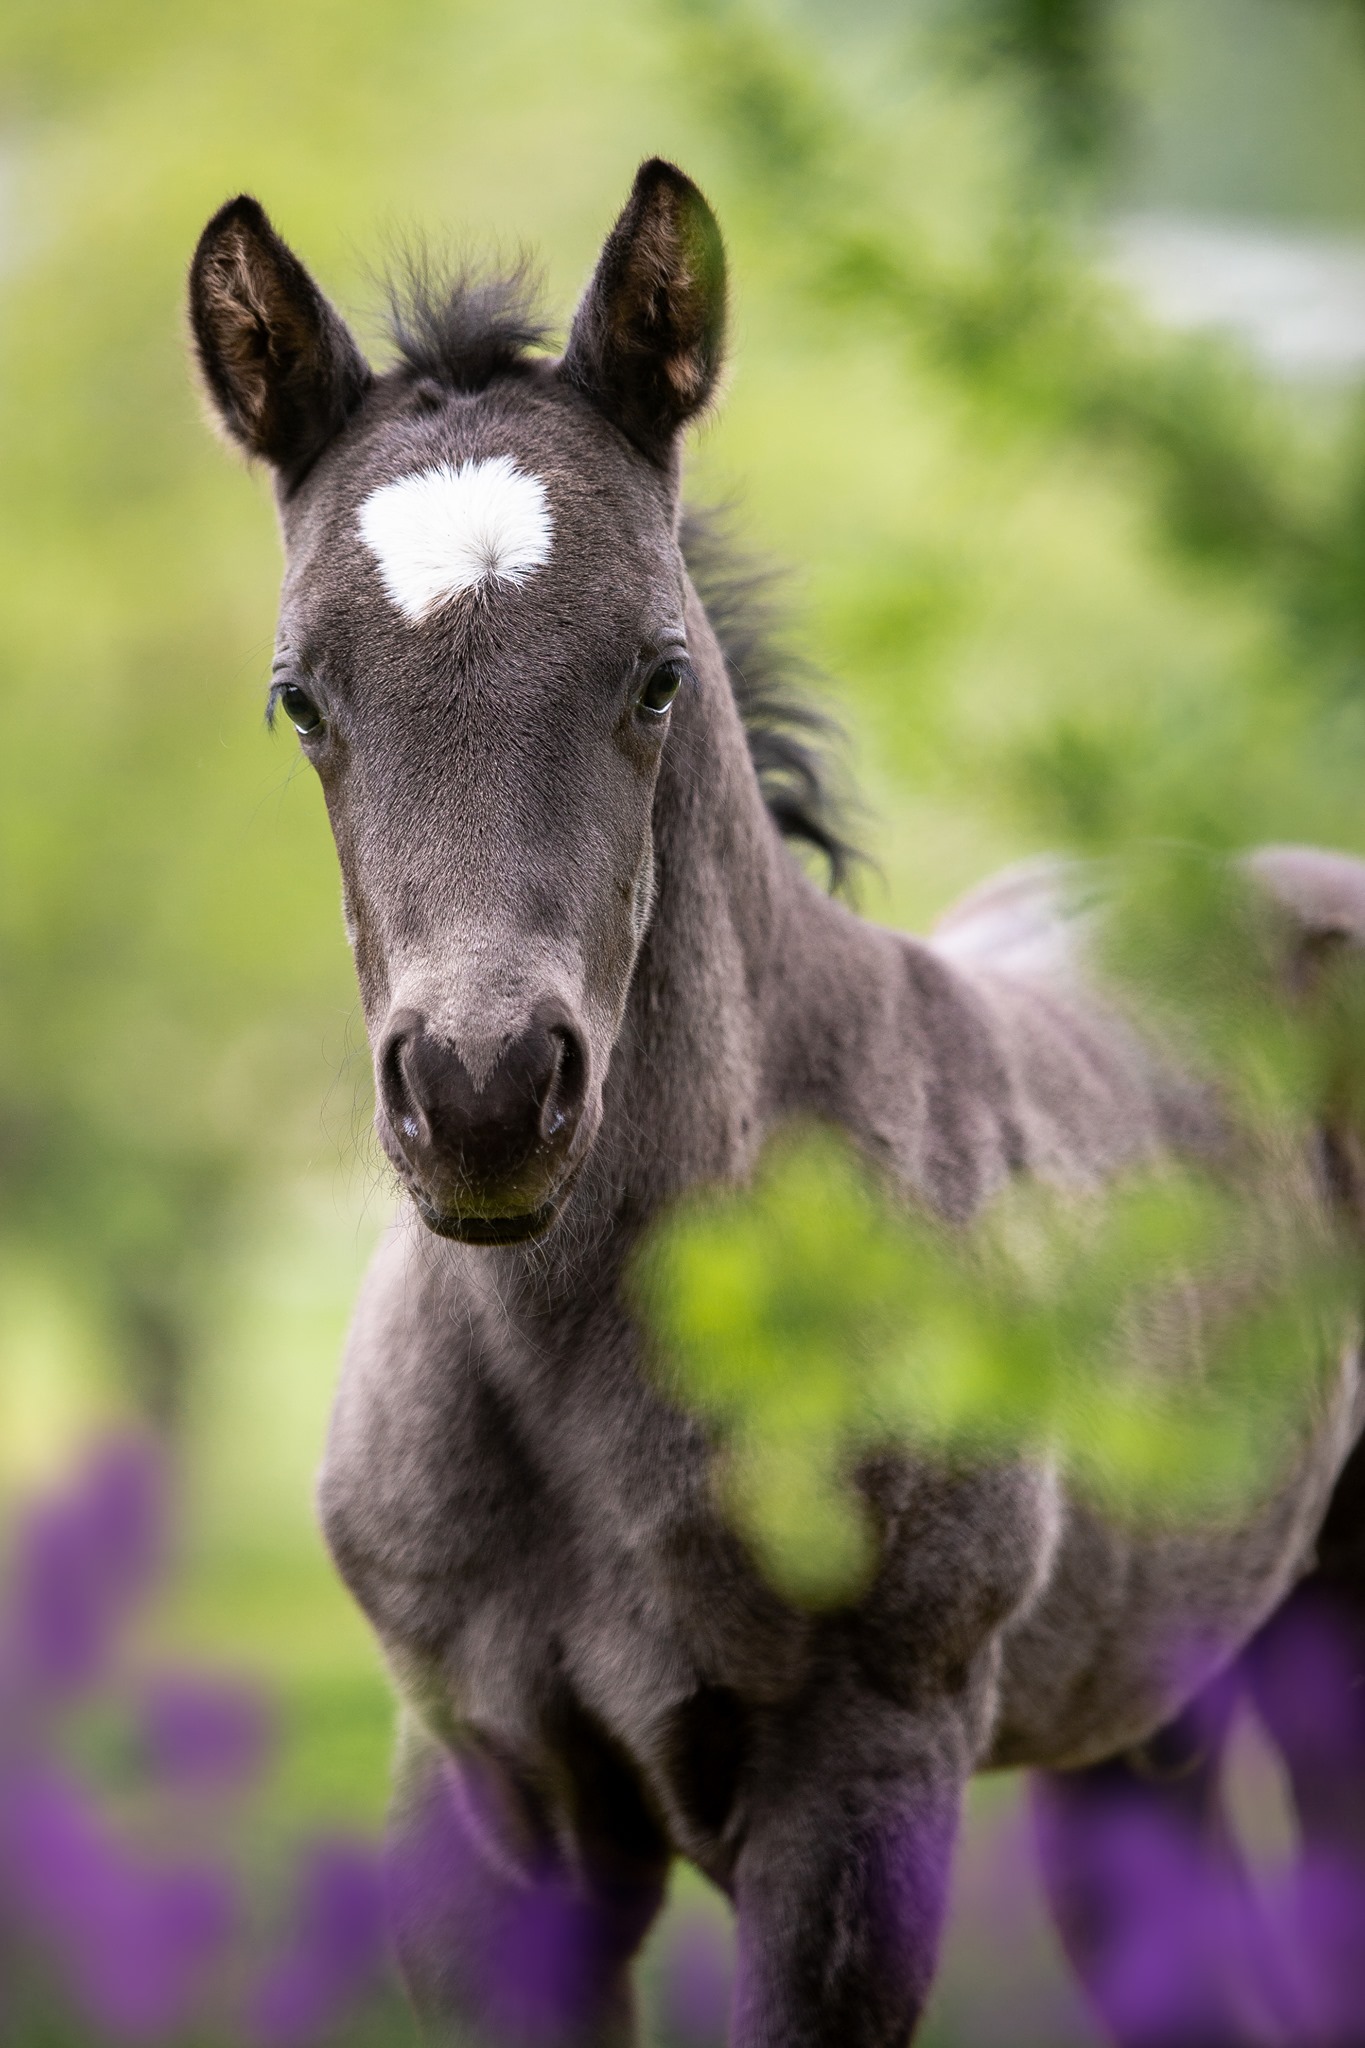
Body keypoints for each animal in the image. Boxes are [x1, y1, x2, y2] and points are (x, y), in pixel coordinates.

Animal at [194, 159, 1365, 2048]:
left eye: (658, 671)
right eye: (301, 696)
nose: (483, 1093)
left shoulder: (858, 1797)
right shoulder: (484, 1804)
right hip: (1148, 1712)